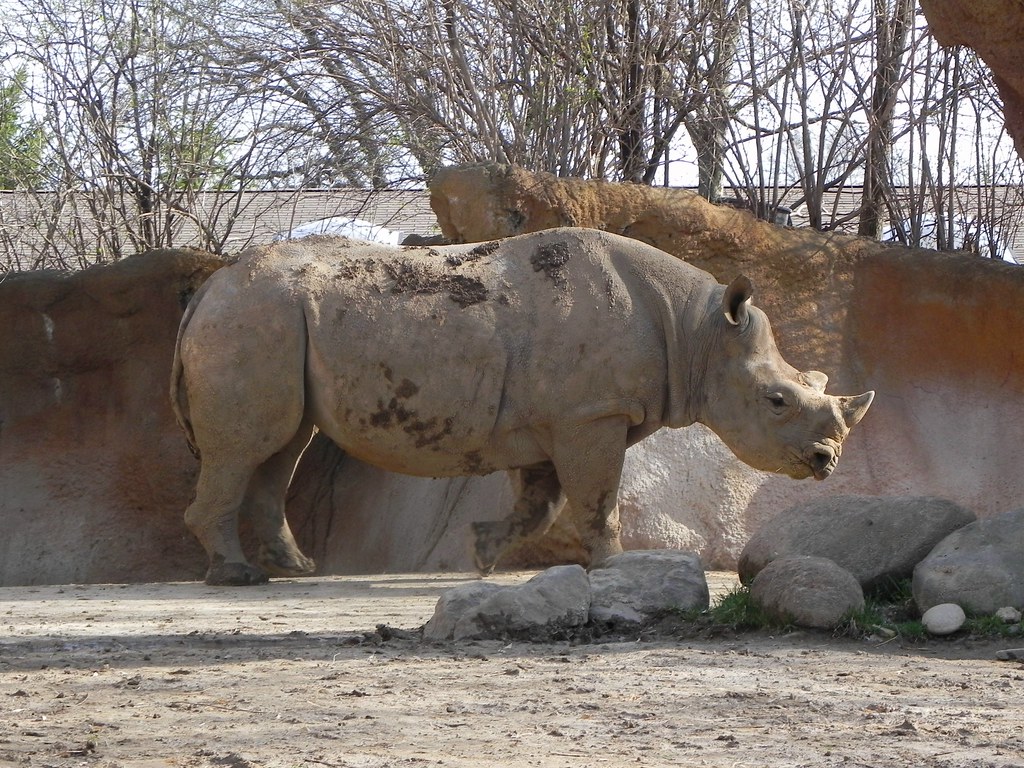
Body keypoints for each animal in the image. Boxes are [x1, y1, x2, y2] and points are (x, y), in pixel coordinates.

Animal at [171, 227, 873, 586]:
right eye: (777, 401)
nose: (827, 461)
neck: (698, 334)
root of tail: (209, 287)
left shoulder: (554, 418)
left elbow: (544, 503)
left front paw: (482, 551)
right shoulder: (590, 415)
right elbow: (597, 497)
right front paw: (617, 567)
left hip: (272, 320)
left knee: (282, 445)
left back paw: (294, 569)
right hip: (254, 316)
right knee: (249, 447)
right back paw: (236, 577)